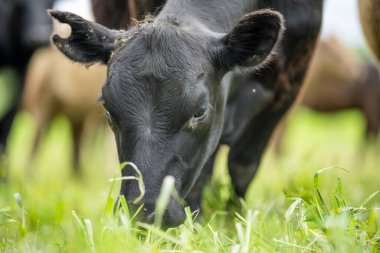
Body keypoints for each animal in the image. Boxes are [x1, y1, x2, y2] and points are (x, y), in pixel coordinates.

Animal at [49, 0, 324, 226]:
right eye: (106, 107)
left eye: (200, 111)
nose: (144, 210)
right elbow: (202, 172)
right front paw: (196, 223)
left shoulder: (286, 88)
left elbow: (243, 166)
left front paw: (236, 218)